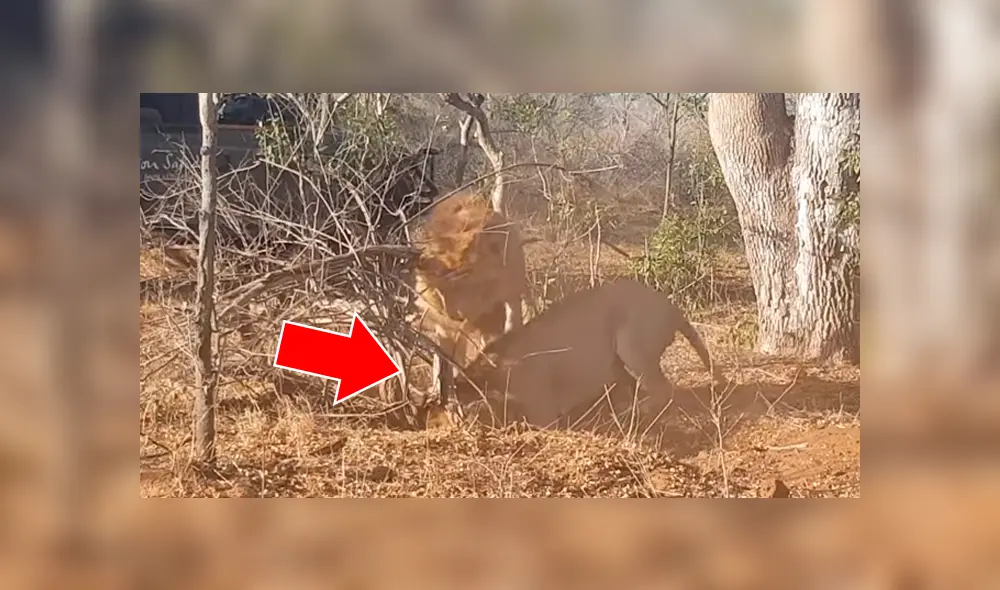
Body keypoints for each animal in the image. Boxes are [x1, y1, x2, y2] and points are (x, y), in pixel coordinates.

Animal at [412, 191, 526, 406]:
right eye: (439, 292)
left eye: (461, 284)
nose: (454, 315)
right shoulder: (445, 324)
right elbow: (444, 362)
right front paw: (441, 393)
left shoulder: (508, 296)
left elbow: (510, 326)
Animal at [452, 278, 726, 428]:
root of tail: (670, 306)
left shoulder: (544, 412)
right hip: (616, 362)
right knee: (634, 386)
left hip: (631, 347)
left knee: (663, 389)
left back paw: (631, 414)